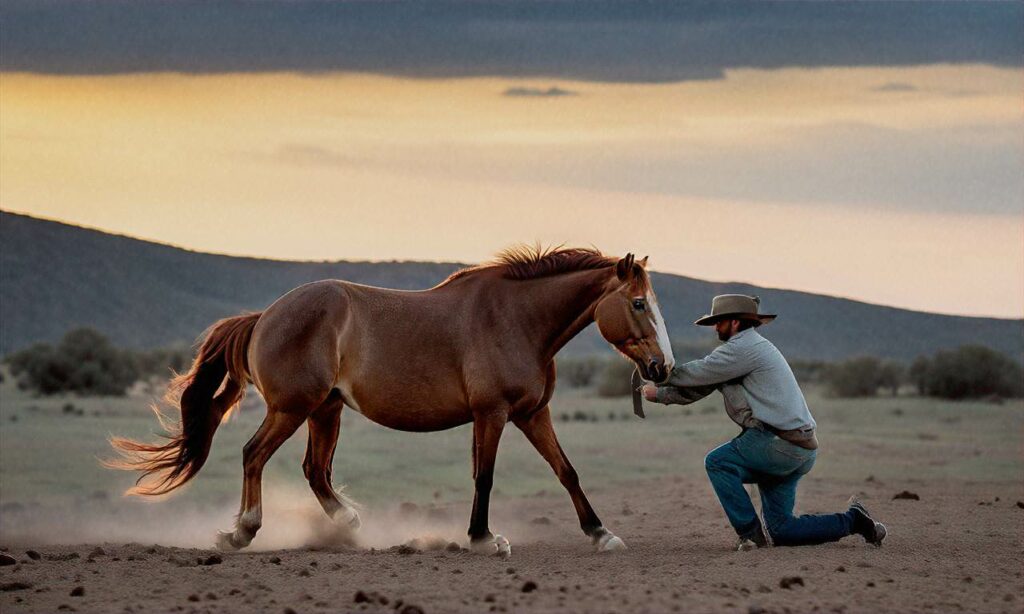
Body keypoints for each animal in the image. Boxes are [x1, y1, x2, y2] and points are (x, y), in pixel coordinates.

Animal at [110, 244, 671, 556]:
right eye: (638, 303)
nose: (661, 368)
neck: (516, 320)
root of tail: (265, 316)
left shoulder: (533, 414)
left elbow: (566, 471)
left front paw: (601, 533)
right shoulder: (491, 415)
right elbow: (484, 477)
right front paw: (483, 539)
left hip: (326, 410)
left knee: (315, 470)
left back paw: (347, 522)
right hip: (292, 408)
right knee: (254, 455)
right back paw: (242, 532)